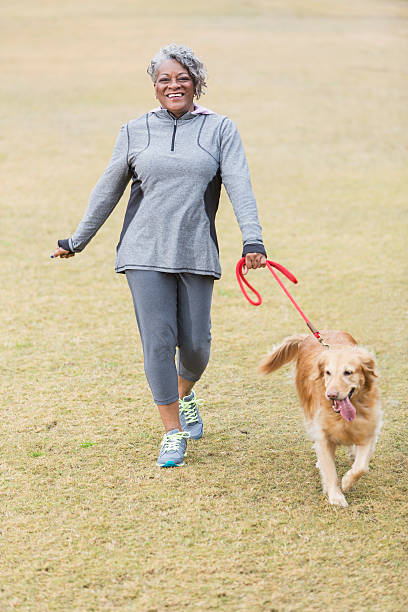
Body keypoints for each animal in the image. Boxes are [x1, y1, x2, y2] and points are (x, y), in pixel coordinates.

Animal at [260, 330, 380, 506]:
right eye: (327, 373)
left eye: (348, 372)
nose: (331, 395)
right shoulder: (323, 435)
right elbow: (329, 469)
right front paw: (336, 496)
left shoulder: (368, 428)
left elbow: (361, 467)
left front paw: (347, 481)